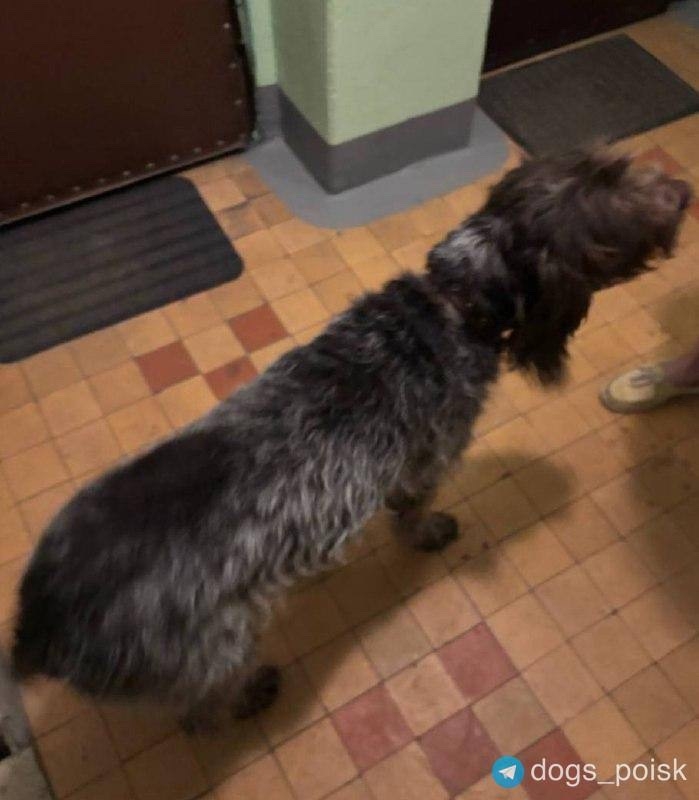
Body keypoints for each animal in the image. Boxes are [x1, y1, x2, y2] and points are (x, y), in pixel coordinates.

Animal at [12, 150, 691, 728]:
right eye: (610, 213)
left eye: (612, 165)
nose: (683, 191)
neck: (453, 300)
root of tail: (38, 621)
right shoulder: (430, 457)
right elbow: (413, 510)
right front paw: (427, 532)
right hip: (216, 647)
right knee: (198, 710)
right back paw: (248, 695)